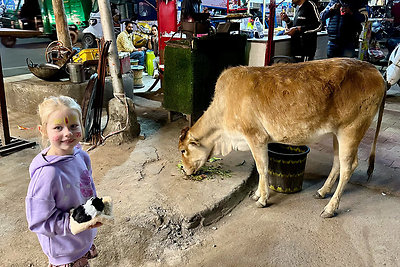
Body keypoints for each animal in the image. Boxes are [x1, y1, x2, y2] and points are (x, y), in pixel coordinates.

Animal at [180, 58, 386, 218]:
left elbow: (262, 168)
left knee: (348, 167)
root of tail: (375, 71)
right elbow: (261, 168)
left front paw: (262, 199)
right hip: (338, 133)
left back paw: (330, 208)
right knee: (337, 163)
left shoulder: (256, 136)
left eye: (183, 150)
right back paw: (322, 192)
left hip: (351, 130)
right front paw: (257, 194)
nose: (185, 170)